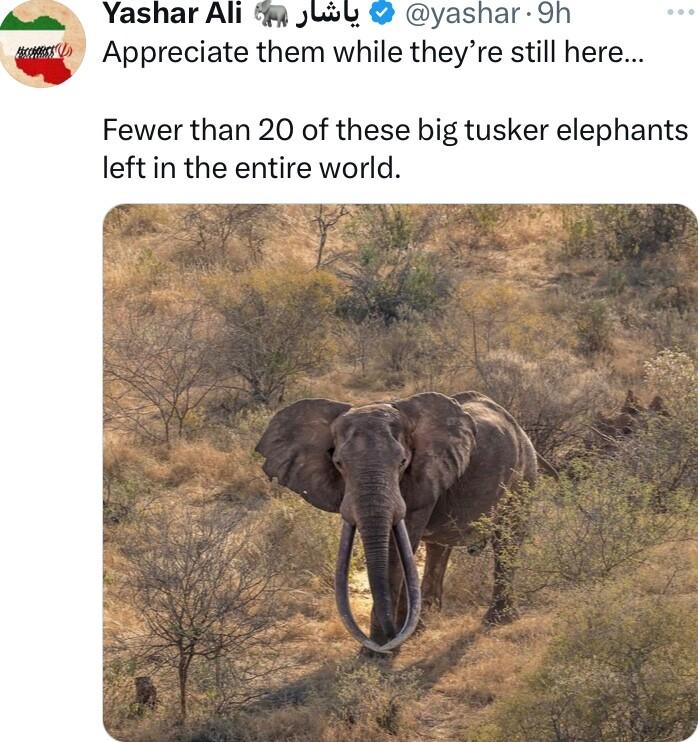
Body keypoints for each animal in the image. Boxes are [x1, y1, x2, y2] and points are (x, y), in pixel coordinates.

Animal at [256, 391, 538, 655]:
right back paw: (424, 623)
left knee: (507, 540)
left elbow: (397, 552)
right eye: (338, 463)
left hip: (525, 469)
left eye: (403, 461)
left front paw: (381, 653)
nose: (386, 639)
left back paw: (497, 620)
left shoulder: (423, 475)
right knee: (438, 548)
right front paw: (391, 644)